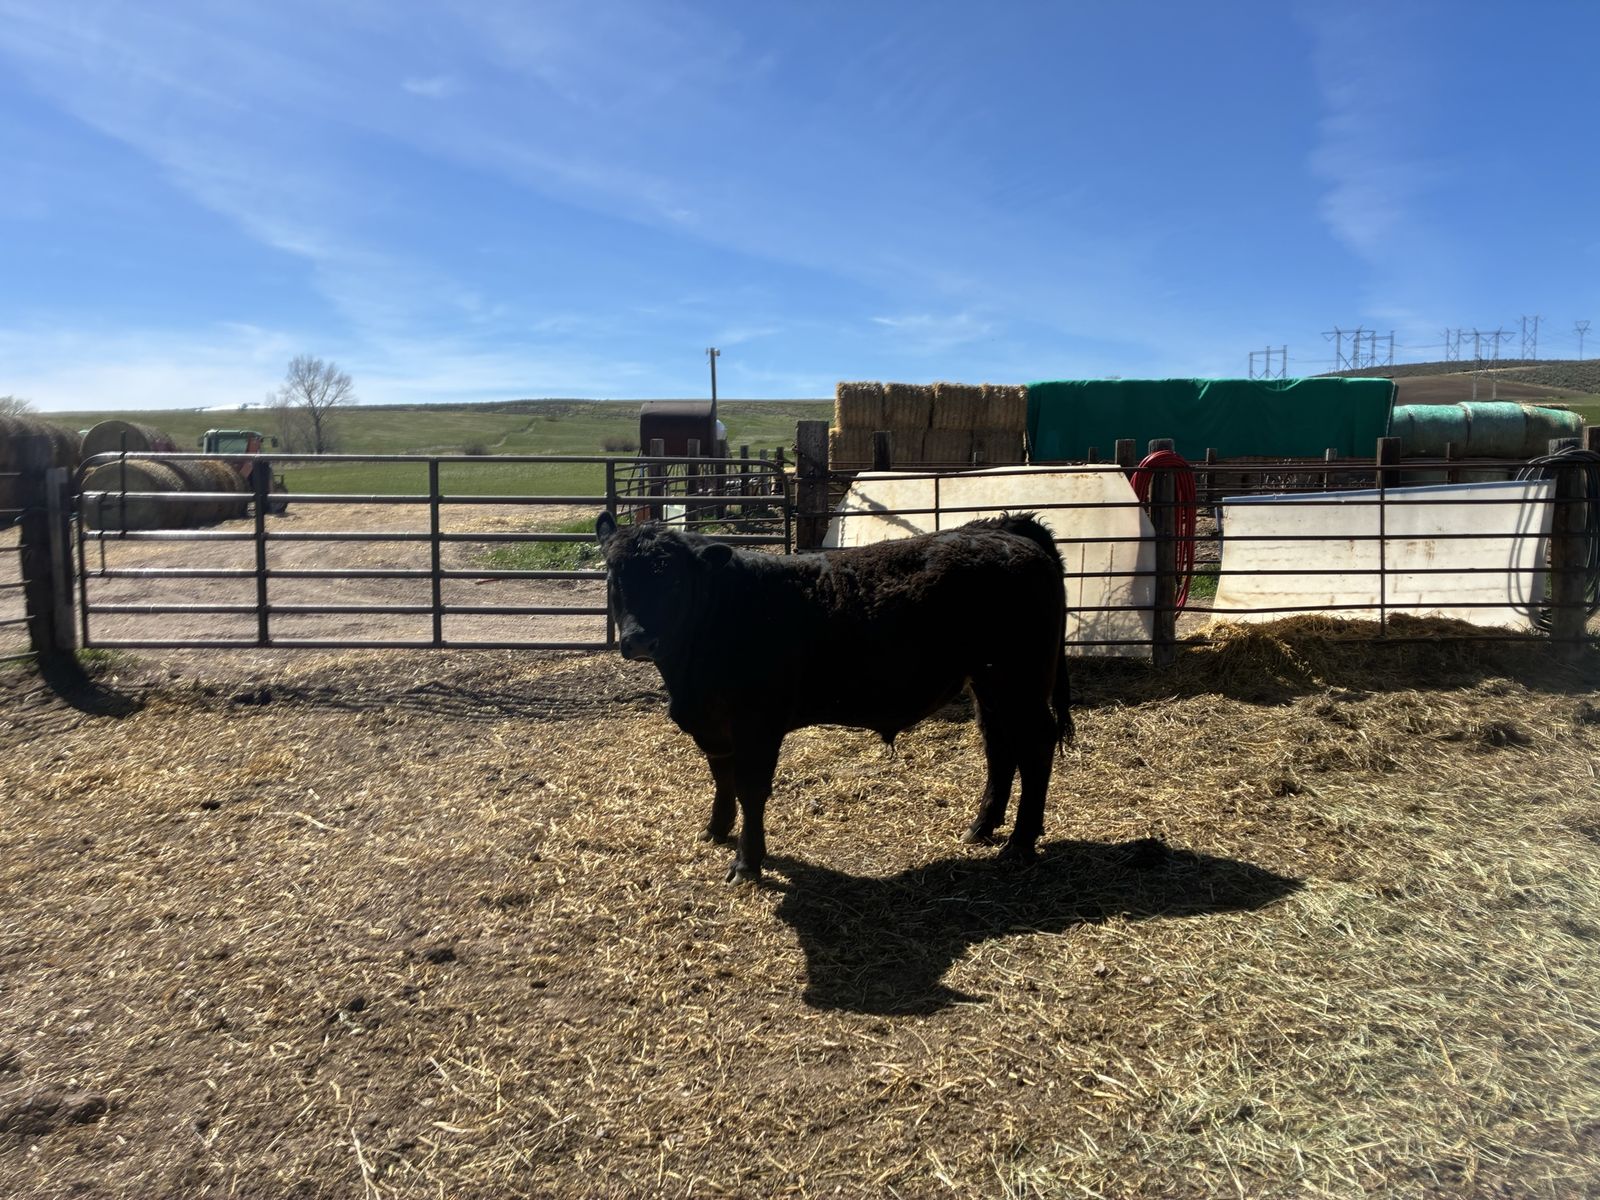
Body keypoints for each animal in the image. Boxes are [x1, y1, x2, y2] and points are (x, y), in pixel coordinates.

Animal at [595, 511, 1073, 883]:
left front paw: (747, 862)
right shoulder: (714, 726)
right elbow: (722, 778)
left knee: (1035, 745)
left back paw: (1020, 844)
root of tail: (1003, 531)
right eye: (613, 576)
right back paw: (982, 827)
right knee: (999, 746)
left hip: (1020, 682)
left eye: (673, 579)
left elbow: (750, 788)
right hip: (990, 684)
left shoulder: (757, 725)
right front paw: (716, 829)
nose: (639, 640)